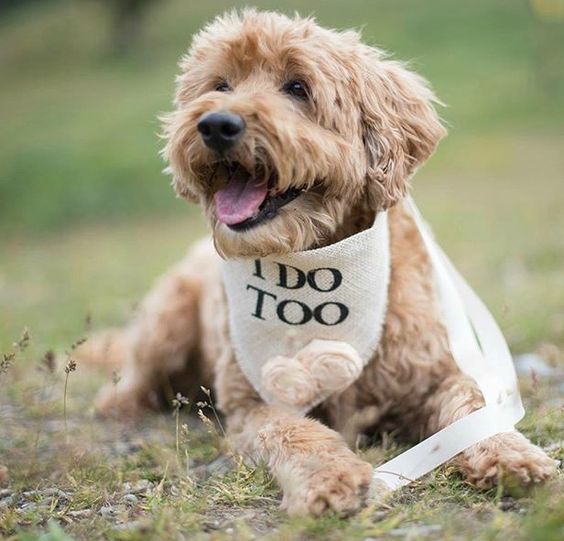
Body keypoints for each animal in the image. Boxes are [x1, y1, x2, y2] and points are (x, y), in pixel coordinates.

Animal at [83, 8, 556, 516]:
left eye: (297, 87)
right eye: (220, 84)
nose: (215, 124)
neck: (314, 260)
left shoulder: (433, 374)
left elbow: (472, 405)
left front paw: (511, 452)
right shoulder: (253, 404)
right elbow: (294, 431)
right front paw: (330, 476)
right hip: (167, 321)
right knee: (135, 377)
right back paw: (121, 402)